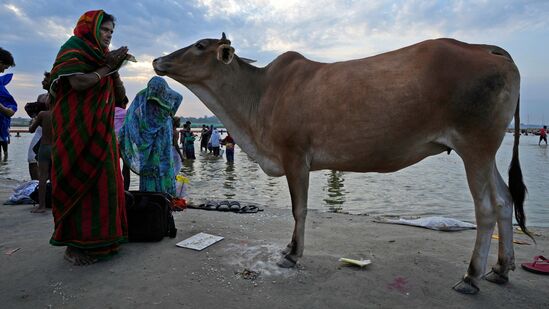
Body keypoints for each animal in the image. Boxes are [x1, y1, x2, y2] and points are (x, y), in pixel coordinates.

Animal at [152, 33, 528, 294]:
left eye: (200, 45)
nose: (157, 59)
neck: (257, 99)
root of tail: (488, 48)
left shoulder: (295, 155)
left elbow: (299, 209)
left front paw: (292, 253)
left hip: (474, 145)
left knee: (486, 209)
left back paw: (471, 276)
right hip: (485, 151)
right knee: (504, 200)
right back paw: (500, 269)